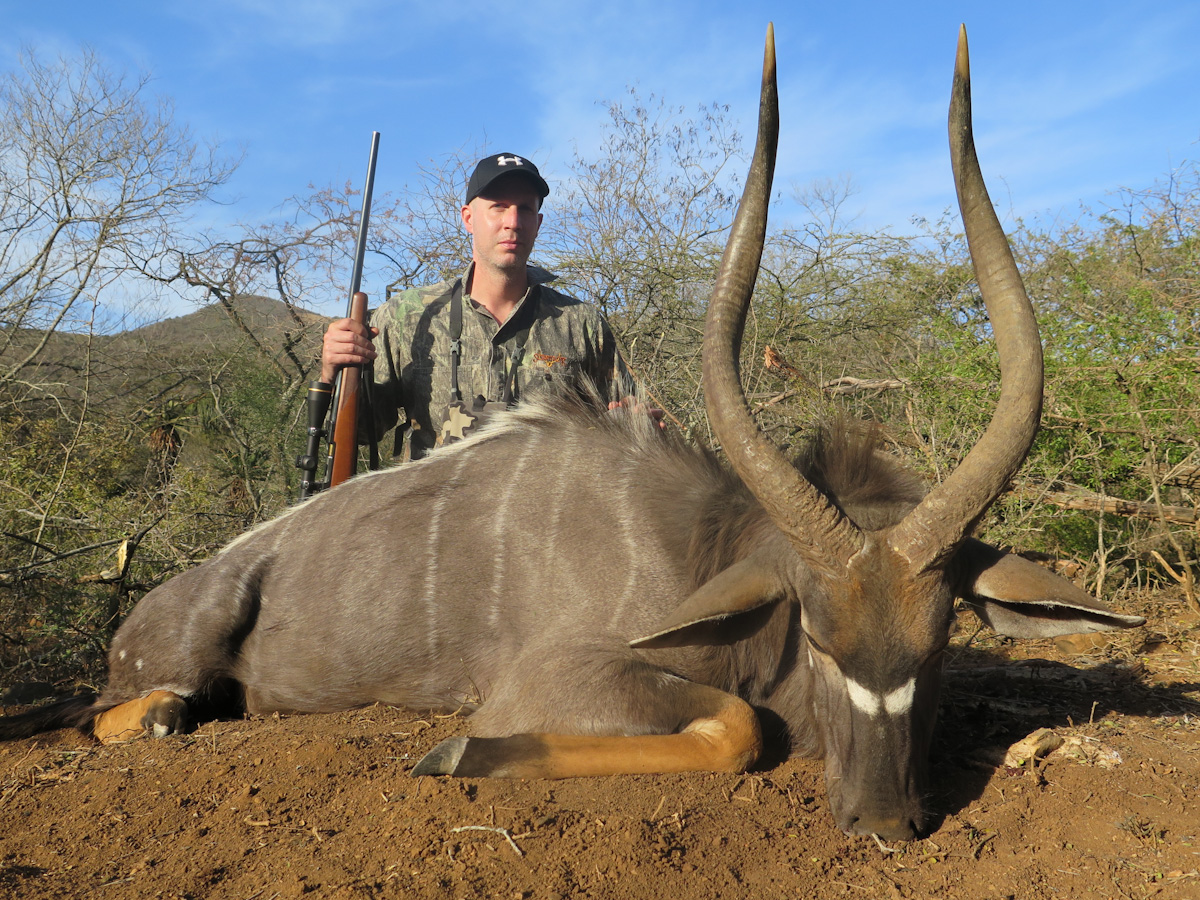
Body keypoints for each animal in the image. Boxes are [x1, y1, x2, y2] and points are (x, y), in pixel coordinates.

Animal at [0, 26, 1143, 841]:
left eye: (941, 639)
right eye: (818, 635)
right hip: (182, 650)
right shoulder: (550, 681)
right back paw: (160, 714)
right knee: (124, 709)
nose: (883, 821)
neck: (697, 547)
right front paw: (457, 757)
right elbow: (738, 726)